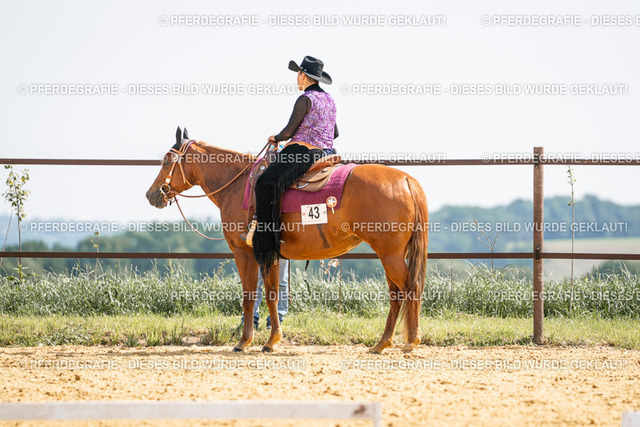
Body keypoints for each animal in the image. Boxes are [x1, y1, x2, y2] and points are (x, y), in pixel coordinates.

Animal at [146, 127, 428, 354]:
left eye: (167, 160)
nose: (151, 194)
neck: (238, 185)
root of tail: (407, 181)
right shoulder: (271, 253)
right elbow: (271, 294)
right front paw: (271, 341)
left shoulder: (244, 252)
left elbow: (250, 295)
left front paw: (244, 342)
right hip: (390, 254)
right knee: (396, 294)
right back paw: (381, 344)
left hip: (390, 254)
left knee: (411, 287)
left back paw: (411, 340)